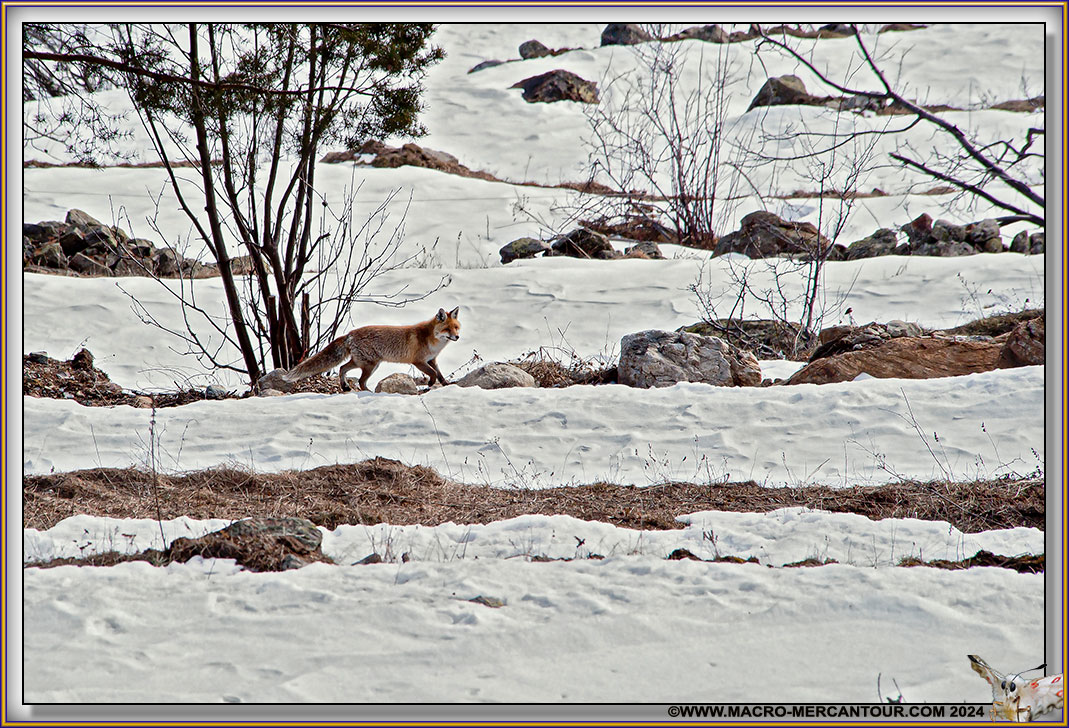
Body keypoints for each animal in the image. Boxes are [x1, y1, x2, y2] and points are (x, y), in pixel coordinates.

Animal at [282, 307, 461, 392]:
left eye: (456, 327)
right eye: (447, 329)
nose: (457, 337)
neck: (433, 341)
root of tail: (350, 333)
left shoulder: (432, 360)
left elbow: (439, 374)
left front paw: (446, 385)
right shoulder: (418, 361)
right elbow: (432, 374)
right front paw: (430, 383)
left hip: (362, 363)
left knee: (342, 368)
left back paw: (345, 386)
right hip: (370, 365)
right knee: (360, 381)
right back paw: (369, 392)